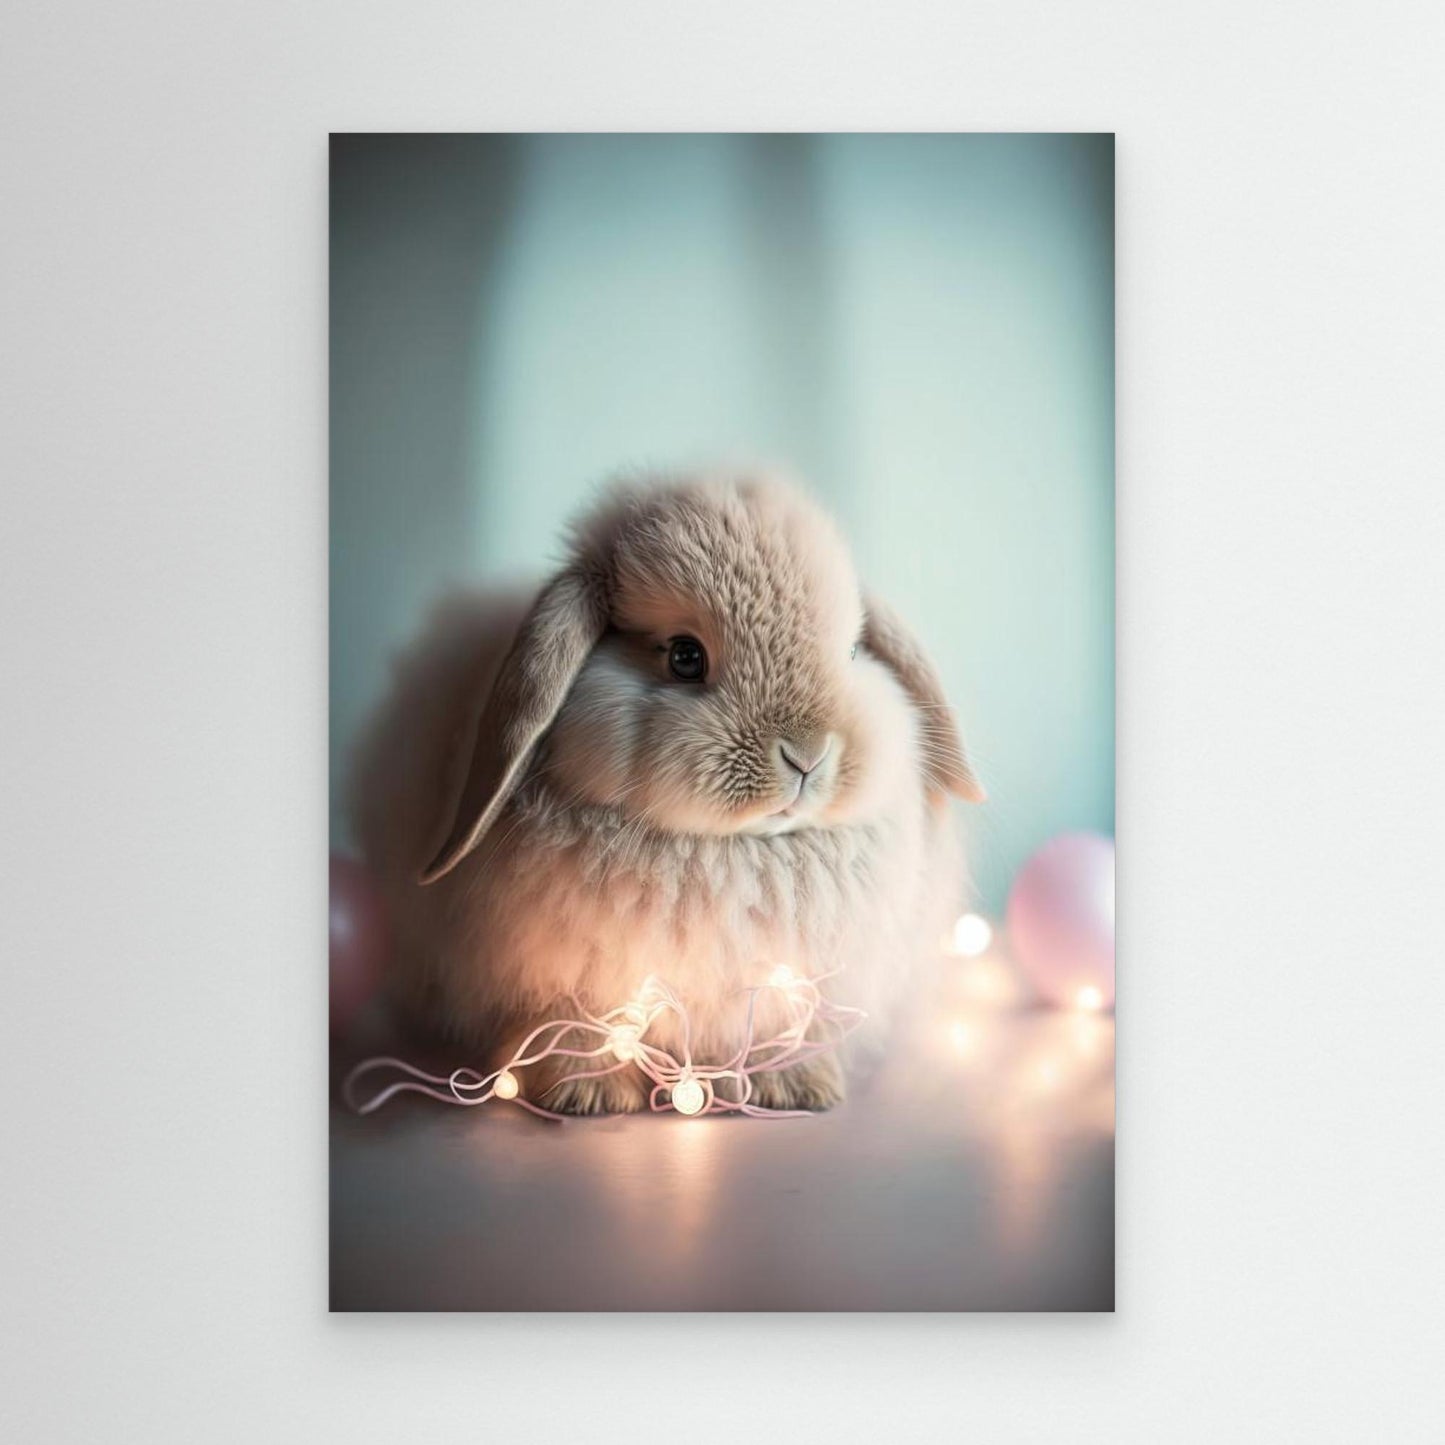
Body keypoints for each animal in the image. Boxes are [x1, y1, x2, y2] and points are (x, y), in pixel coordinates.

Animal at [349, 469, 984, 1114]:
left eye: (853, 652)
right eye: (684, 656)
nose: (806, 755)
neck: (729, 852)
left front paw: (794, 1086)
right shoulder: (561, 980)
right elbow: (575, 1024)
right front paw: (588, 1095)